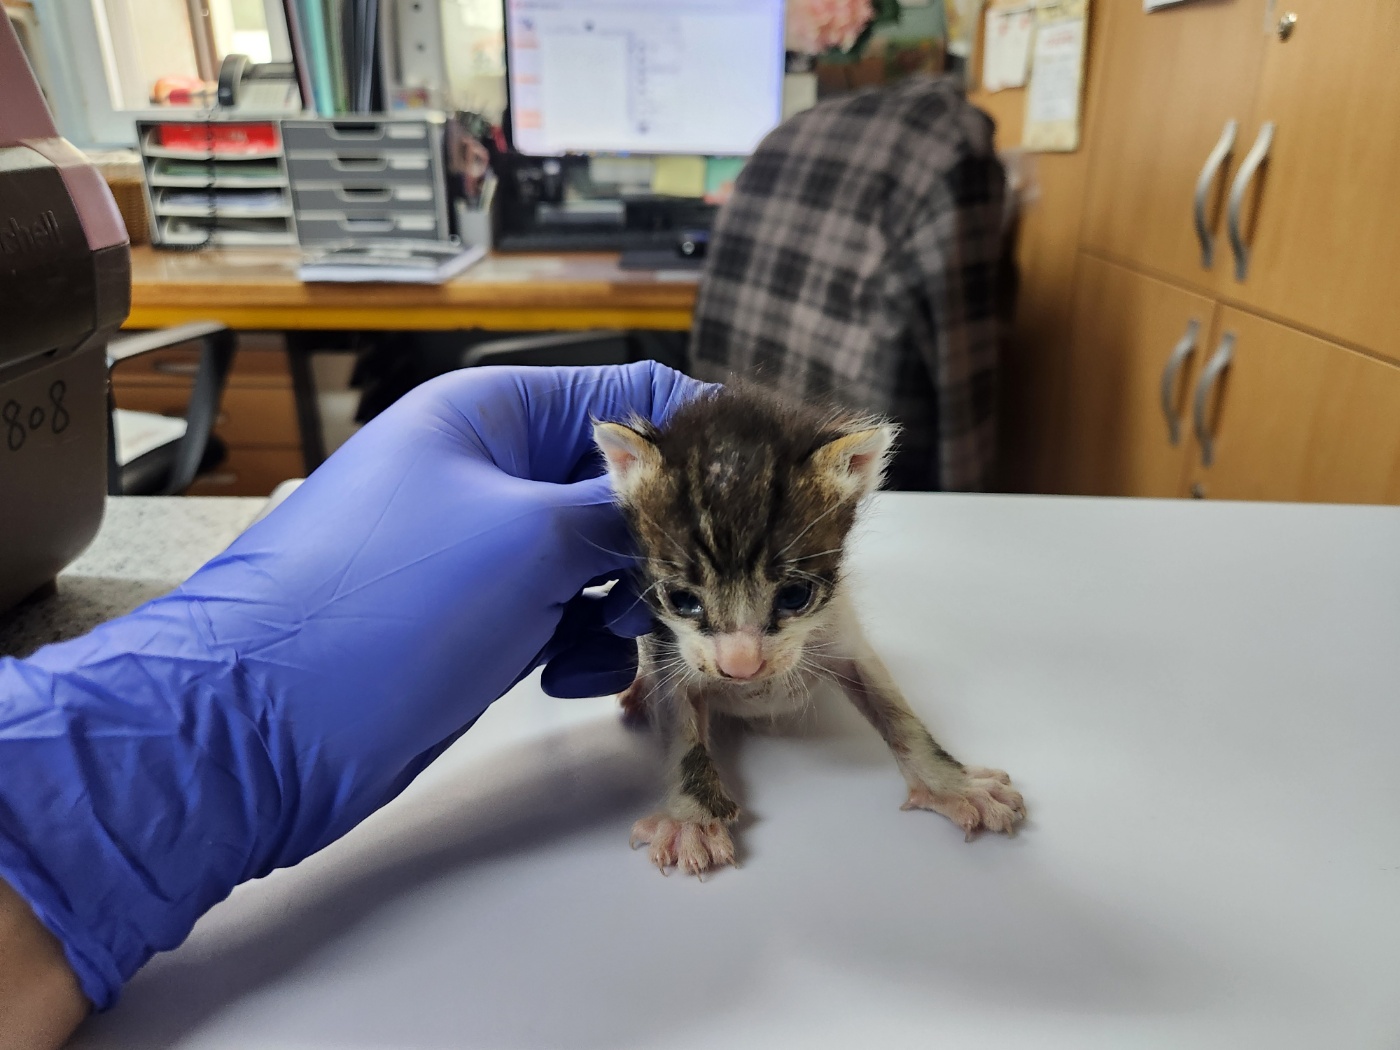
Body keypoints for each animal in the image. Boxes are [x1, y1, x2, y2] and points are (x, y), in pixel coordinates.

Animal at [593, 389, 1030, 879]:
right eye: (683, 599)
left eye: (795, 596)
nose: (740, 666)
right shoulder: (669, 647)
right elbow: (681, 728)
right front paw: (691, 818)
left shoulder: (839, 630)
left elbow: (897, 711)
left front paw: (953, 785)